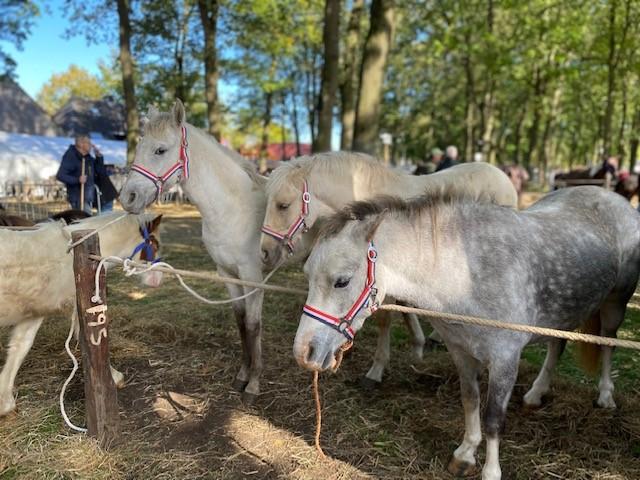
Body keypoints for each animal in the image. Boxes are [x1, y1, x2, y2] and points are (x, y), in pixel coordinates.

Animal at [0, 211, 164, 416]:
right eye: (154, 244)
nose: (158, 280)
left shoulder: (33, 314)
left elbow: (19, 347)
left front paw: (4, 401)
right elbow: (89, 338)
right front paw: (114, 376)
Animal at [261, 153, 518, 385]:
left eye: (283, 205)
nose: (264, 252)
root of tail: (502, 176)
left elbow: (386, 319)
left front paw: (377, 369)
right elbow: (406, 306)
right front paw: (418, 345)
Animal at [293, 186, 640, 480]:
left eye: (341, 281)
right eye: (307, 275)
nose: (304, 352)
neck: (467, 273)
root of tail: (617, 199)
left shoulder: (505, 360)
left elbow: (493, 418)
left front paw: (491, 472)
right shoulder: (460, 351)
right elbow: (470, 401)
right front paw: (465, 454)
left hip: (615, 304)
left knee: (608, 346)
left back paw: (605, 395)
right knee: (558, 346)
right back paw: (536, 393)